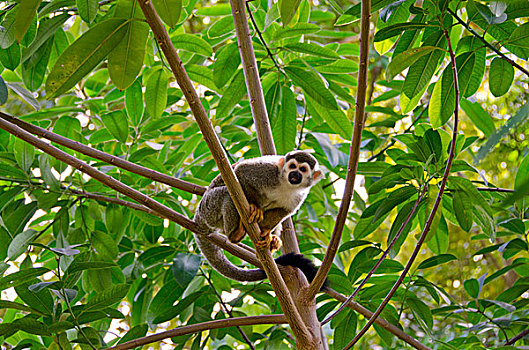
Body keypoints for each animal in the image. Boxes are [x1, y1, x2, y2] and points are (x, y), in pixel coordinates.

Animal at [195, 150, 322, 282]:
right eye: (292, 166)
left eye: (302, 169)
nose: (295, 173)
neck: (286, 185)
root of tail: (199, 216)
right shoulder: (269, 172)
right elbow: (241, 172)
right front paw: (255, 207)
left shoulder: (300, 196)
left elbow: (284, 211)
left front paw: (266, 231)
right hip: (210, 207)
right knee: (227, 192)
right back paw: (235, 234)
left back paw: (272, 242)